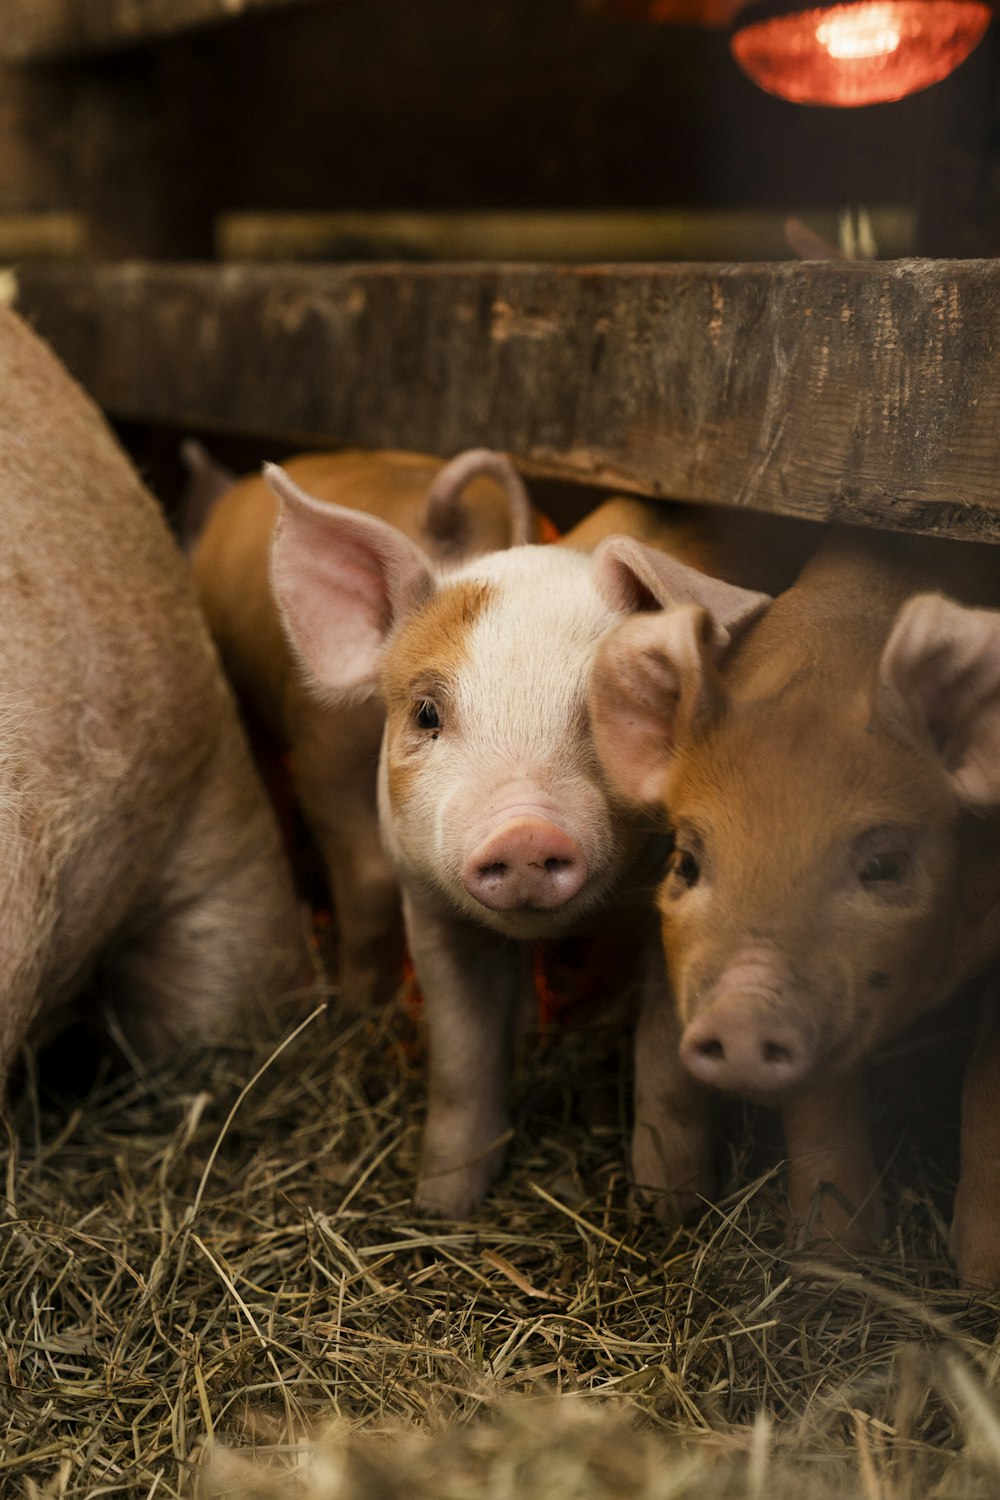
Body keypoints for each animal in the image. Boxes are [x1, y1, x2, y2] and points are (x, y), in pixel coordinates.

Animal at [265, 462, 767, 1212]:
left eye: (610, 709)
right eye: (426, 712)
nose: (524, 830)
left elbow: (666, 1064)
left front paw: (670, 1209)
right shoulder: (429, 911)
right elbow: (462, 1056)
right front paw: (442, 1204)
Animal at [590, 522, 1000, 1284]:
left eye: (885, 864)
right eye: (687, 862)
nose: (743, 1015)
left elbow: (989, 1081)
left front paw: (981, 1279)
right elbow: (820, 1102)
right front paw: (836, 1258)